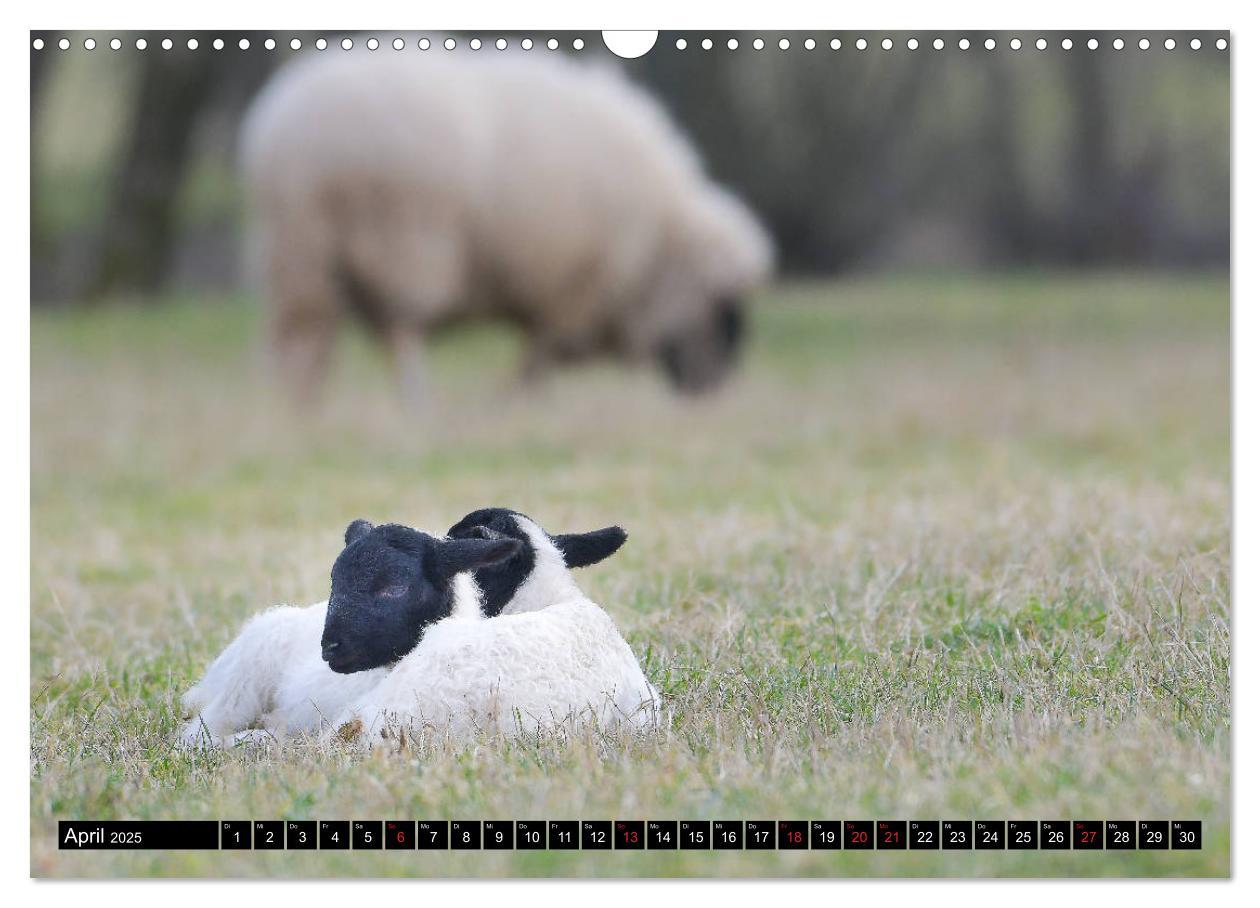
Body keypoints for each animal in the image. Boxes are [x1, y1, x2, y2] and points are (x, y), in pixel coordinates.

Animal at [239, 50, 771, 400]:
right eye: (720, 304)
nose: (713, 389)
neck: (654, 244)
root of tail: (276, 130)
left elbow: (540, 347)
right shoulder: (568, 286)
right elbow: (543, 349)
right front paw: (521, 394)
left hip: (299, 249)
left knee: (303, 337)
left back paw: (304, 406)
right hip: (395, 238)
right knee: (399, 329)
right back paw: (412, 399)